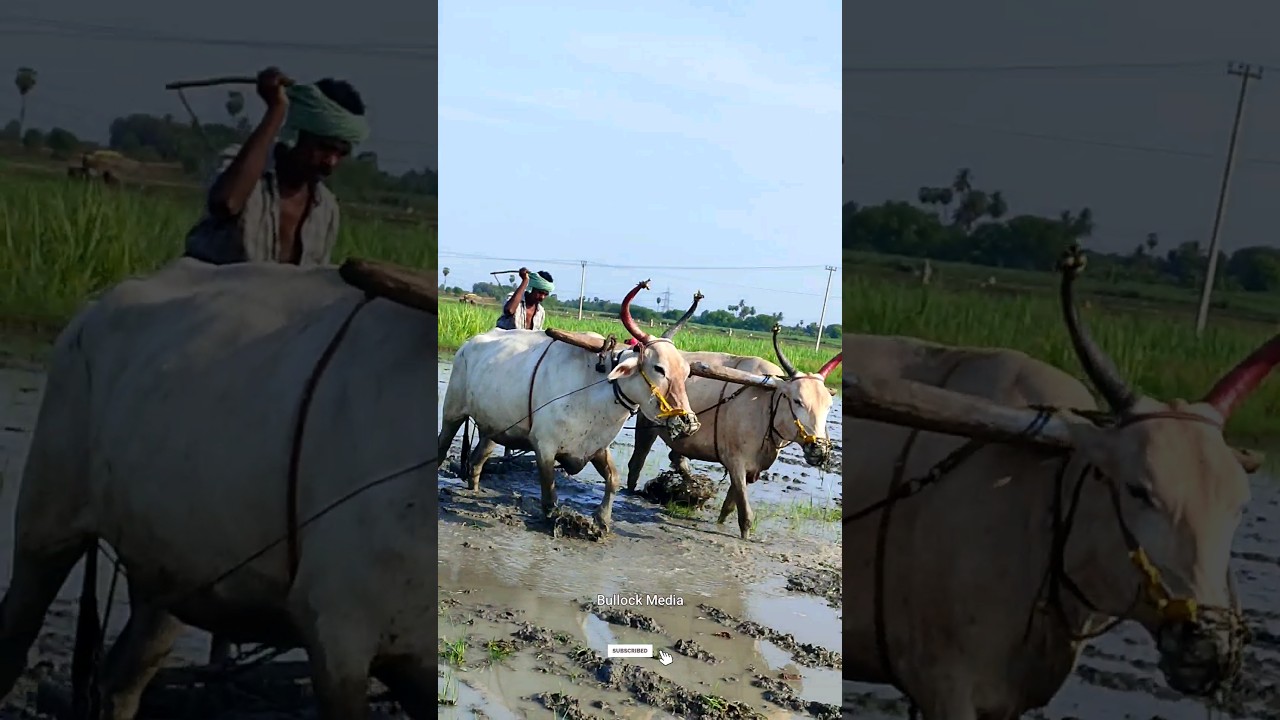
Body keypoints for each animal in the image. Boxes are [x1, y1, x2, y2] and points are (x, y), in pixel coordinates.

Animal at [0, 258, 437, 720]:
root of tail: (94, 308)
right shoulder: (339, 640)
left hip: (172, 565)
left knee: (122, 680)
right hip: (47, 518)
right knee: (14, 636)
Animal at [437, 280, 751, 531]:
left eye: (686, 373)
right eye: (658, 368)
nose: (688, 422)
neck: (597, 386)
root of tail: (469, 344)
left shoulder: (596, 446)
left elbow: (613, 479)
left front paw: (602, 519)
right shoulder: (545, 447)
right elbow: (549, 493)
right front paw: (557, 520)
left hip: (494, 426)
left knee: (478, 459)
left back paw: (474, 488)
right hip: (453, 411)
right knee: (443, 445)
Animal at [626, 314, 842, 539]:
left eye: (829, 406)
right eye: (797, 401)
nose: (819, 448)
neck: (767, 404)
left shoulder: (751, 469)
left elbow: (729, 507)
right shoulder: (736, 462)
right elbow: (746, 515)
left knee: (676, 457)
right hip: (646, 425)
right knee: (636, 464)